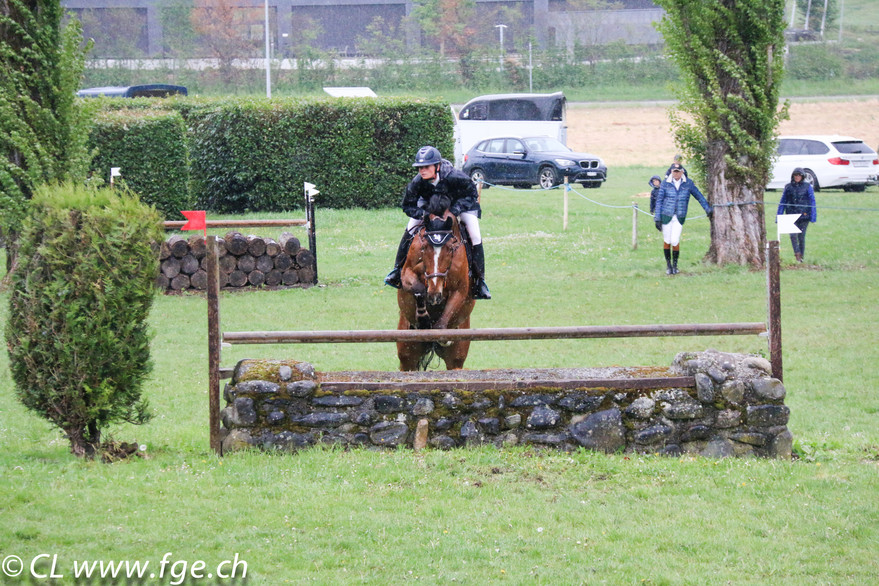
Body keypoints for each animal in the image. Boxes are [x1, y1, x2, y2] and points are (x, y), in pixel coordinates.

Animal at [396, 196, 475, 370]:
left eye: (450, 248)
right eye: (425, 247)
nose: (434, 295)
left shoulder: (460, 290)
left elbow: (441, 325)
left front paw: (441, 335)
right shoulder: (407, 273)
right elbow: (418, 286)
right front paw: (424, 318)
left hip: (456, 358)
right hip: (407, 353)